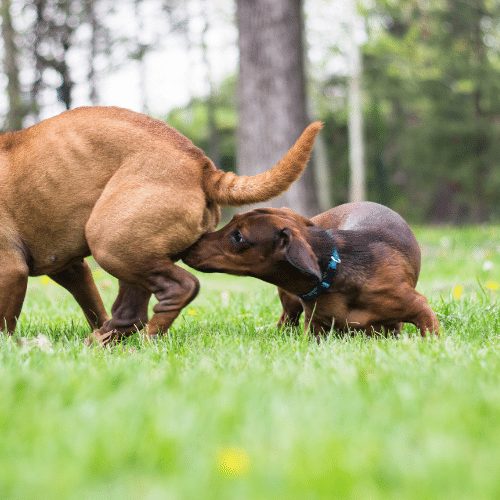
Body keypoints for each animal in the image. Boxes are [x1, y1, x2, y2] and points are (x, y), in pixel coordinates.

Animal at [0, 103, 322, 342]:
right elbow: (91, 302)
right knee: (130, 312)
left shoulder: (10, 270)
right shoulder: (70, 268)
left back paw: (144, 340)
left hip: (109, 242)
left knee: (180, 288)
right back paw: (102, 342)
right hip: (128, 252)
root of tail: (201, 166)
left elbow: (4, 323)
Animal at [184, 201, 438, 338]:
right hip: (290, 304)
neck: (334, 276)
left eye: (238, 236)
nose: (190, 244)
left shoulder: (419, 308)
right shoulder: (315, 328)